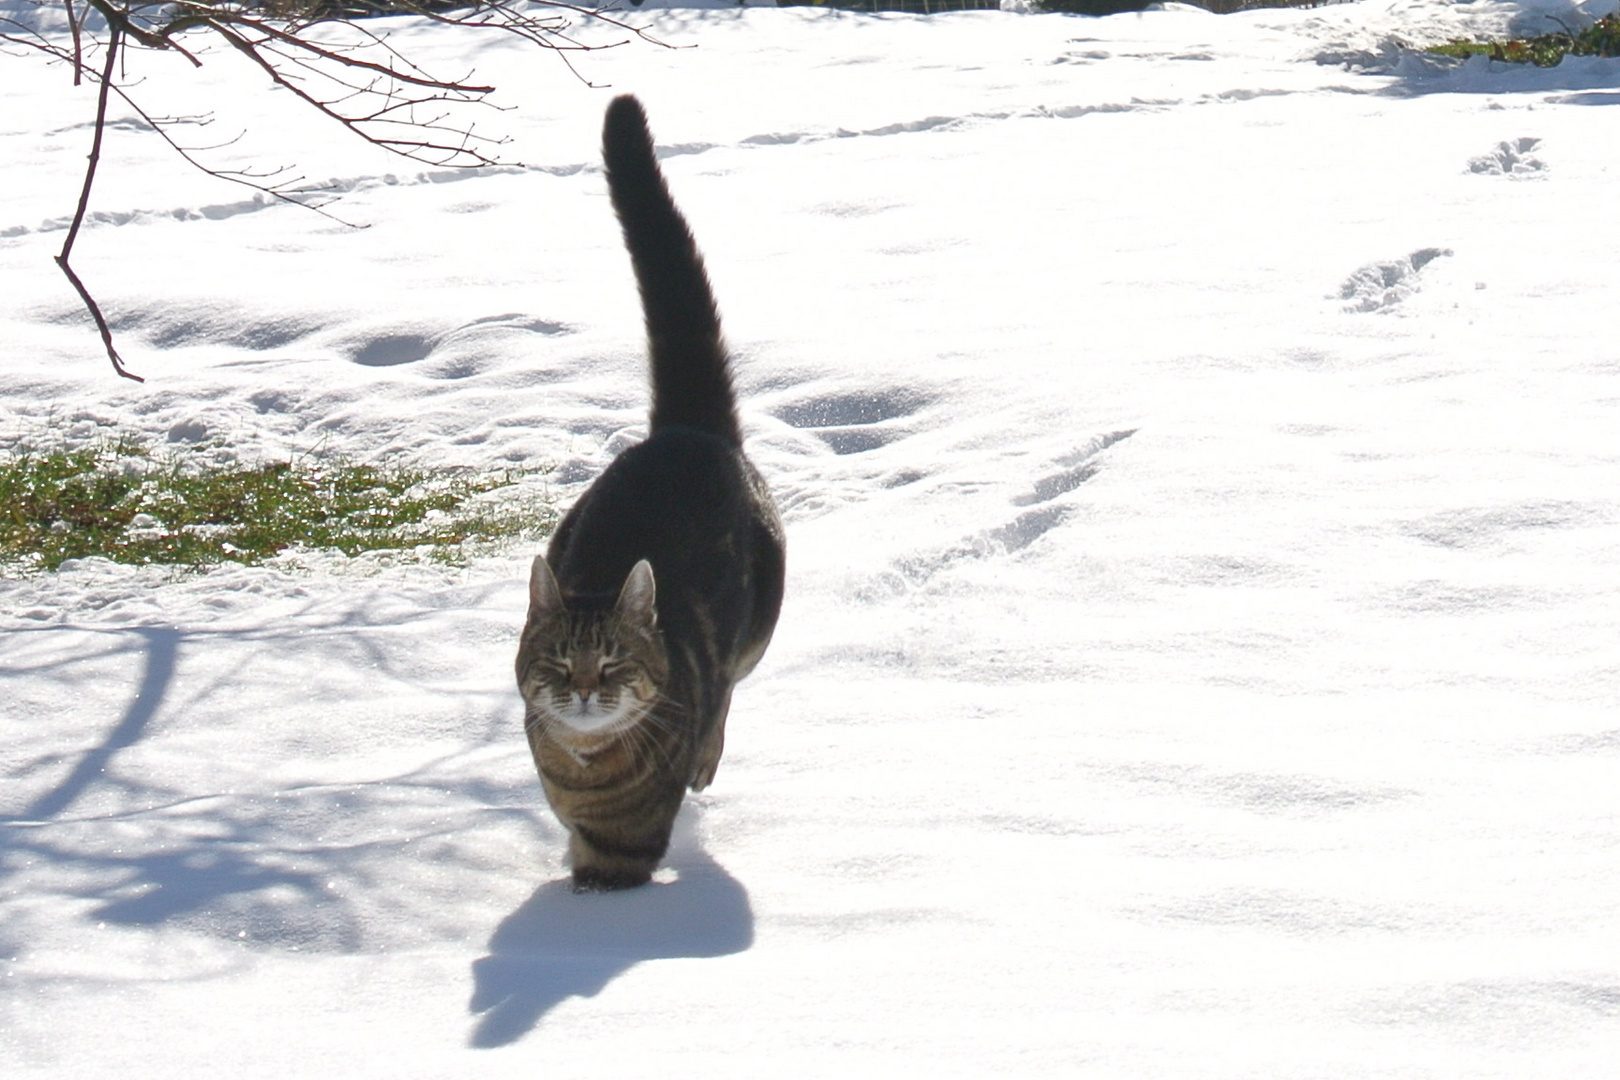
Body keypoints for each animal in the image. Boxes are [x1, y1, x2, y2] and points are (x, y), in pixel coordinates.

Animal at [508, 97, 780, 893]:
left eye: (612, 664)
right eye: (558, 663)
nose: (583, 691)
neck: (581, 766)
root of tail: (687, 429)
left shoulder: (620, 850)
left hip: (757, 631)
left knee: (727, 698)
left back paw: (705, 762)